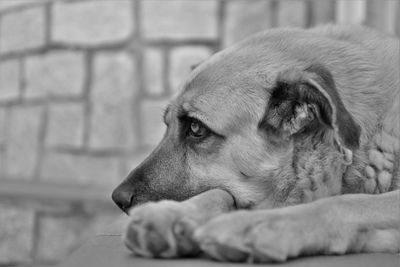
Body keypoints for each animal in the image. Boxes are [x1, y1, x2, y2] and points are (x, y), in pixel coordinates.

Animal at [111, 25, 400, 264]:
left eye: (195, 128)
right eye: (167, 124)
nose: (118, 199)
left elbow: (346, 202)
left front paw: (254, 226)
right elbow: (220, 193)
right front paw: (174, 215)